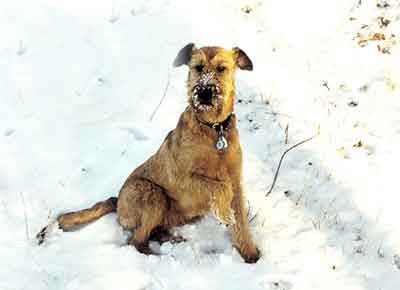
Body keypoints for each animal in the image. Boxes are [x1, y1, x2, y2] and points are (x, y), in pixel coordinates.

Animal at [38, 43, 260, 262]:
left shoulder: (236, 179)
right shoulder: (182, 177)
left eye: (222, 68)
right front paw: (223, 210)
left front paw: (250, 252)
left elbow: (239, 217)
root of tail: (117, 202)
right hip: (153, 194)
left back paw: (172, 240)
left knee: (150, 233)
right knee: (136, 240)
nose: (205, 92)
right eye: (198, 67)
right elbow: (219, 187)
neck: (213, 130)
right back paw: (158, 254)